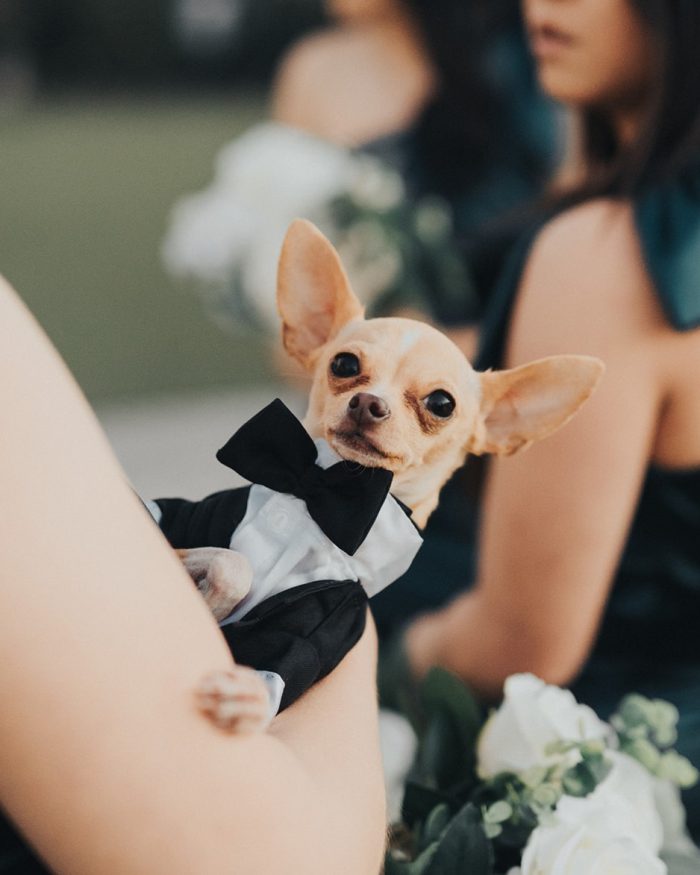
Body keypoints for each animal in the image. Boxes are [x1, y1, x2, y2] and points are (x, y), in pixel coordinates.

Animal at [174, 217, 600, 732]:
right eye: (344, 364)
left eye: (442, 403)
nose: (368, 402)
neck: (319, 494)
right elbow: (233, 562)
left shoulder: (322, 625)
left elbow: (281, 664)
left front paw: (246, 696)